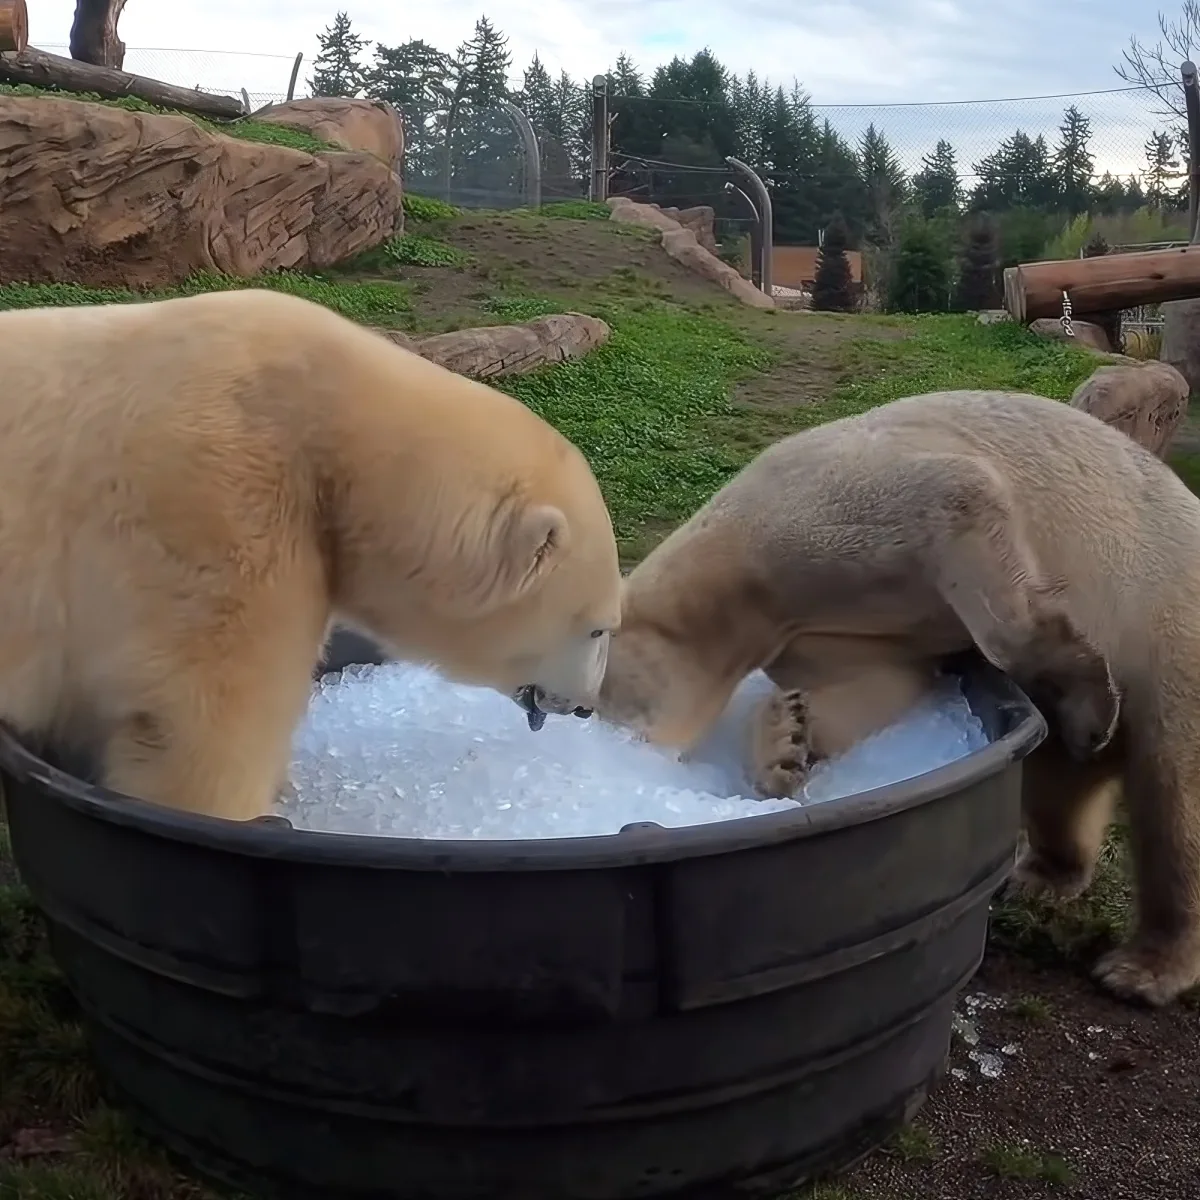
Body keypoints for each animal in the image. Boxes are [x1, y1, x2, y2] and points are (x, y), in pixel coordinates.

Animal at [595, 387, 1200, 1008]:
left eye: (584, 703)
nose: (611, 750)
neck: (743, 581)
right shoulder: (821, 624)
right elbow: (884, 682)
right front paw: (785, 742)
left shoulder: (830, 517)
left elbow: (959, 501)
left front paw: (1089, 693)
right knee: (1057, 783)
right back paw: (1039, 874)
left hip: (1172, 623)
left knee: (1175, 794)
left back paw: (1142, 968)